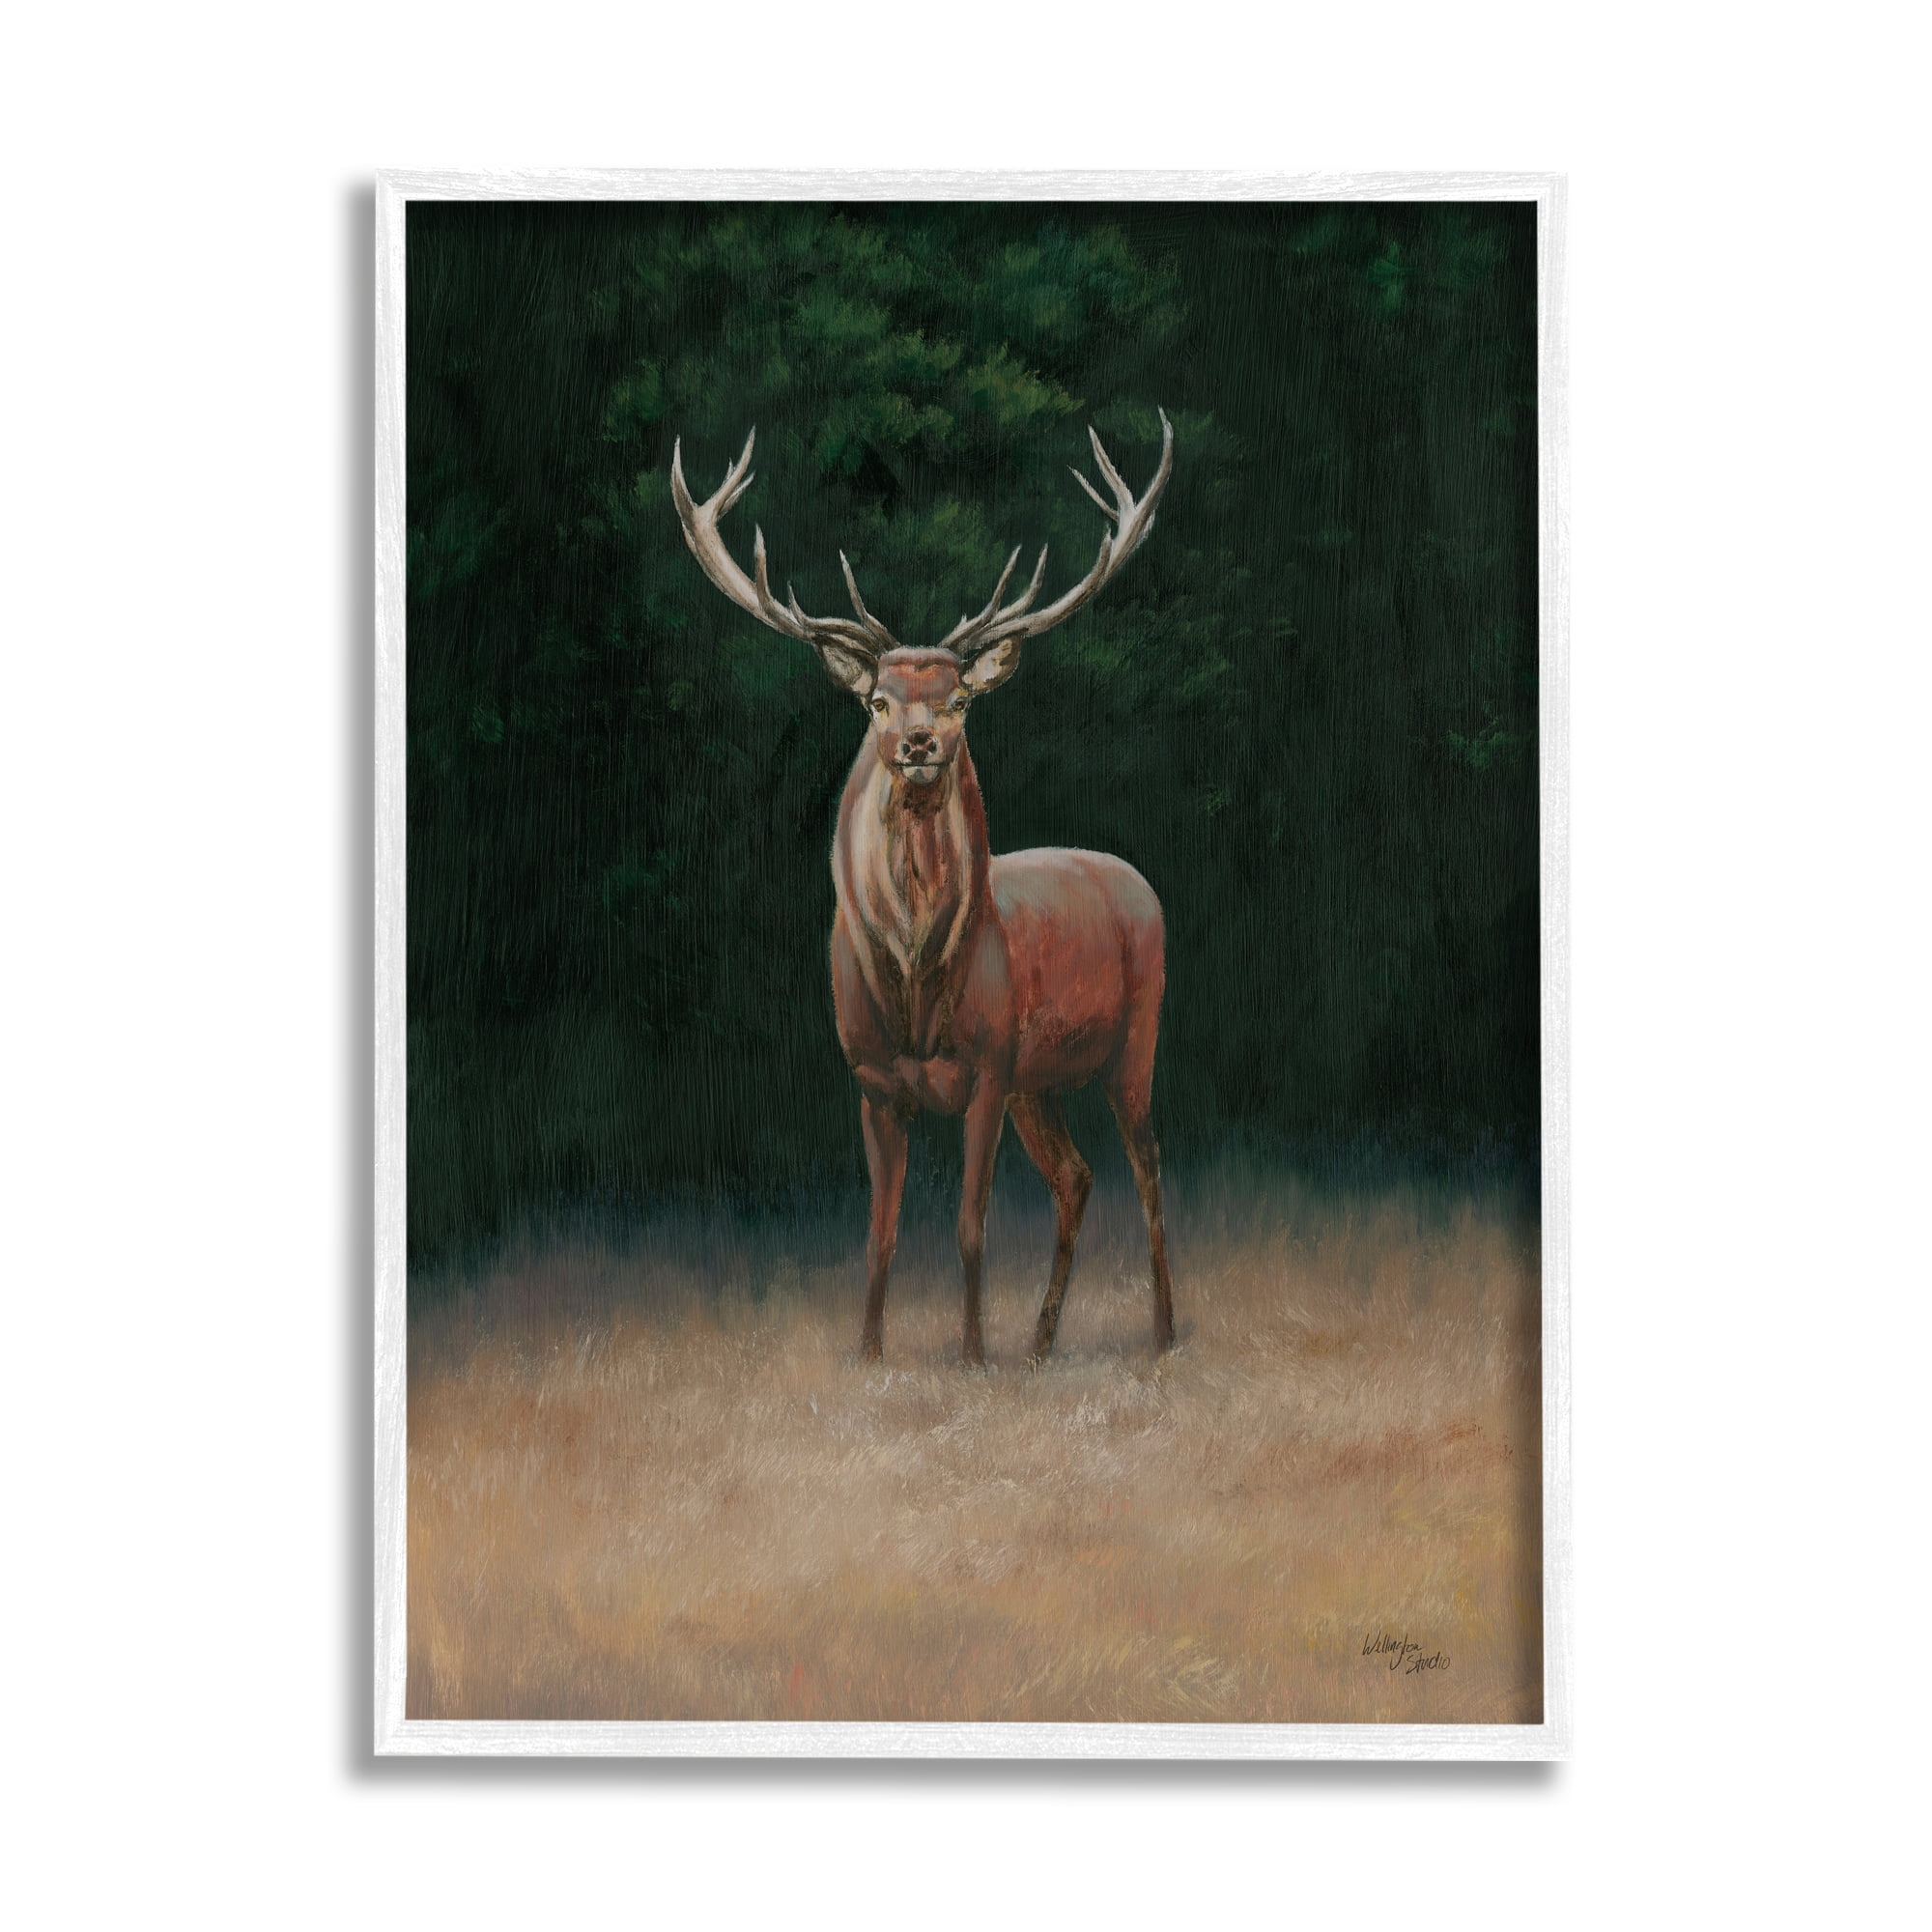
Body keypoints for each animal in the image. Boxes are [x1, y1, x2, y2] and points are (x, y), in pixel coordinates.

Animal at [670, 413, 1177, 1368]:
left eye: (959, 699)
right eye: (875, 699)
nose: (917, 744)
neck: (914, 984)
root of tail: (1136, 879)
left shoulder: (985, 1068)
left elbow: (970, 1226)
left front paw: (973, 1357)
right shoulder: (873, 1081)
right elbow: (881, 1229)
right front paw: (872, 1353)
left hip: (1134, 1038)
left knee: (1148, 1167)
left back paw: (1164, 1333)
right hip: (1041, 1082)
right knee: (1078, 1176)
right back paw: (1042, 1342)